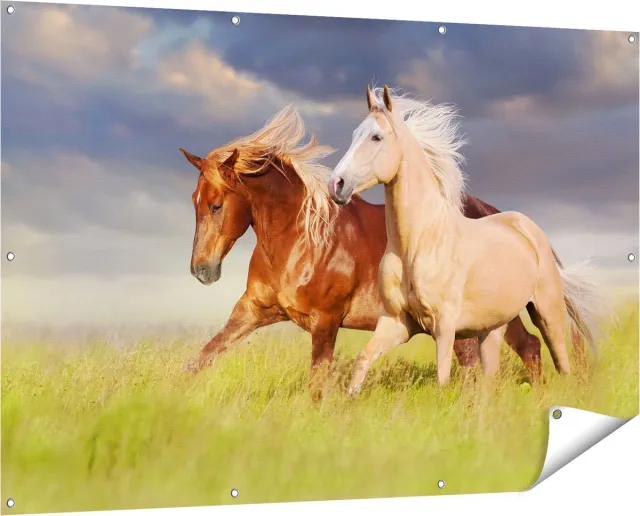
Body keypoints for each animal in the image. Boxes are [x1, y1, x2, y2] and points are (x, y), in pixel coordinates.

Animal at [178, 104, 544, 400]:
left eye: (216, 205)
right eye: (194, 202)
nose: (202, 270)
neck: (300, 241)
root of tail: (500, 216)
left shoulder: (326, 322)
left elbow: (317, 385)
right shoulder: (253, 310)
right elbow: (201, 358)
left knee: (493, 359)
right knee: (526, 347)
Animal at [327, 85, 614, 392]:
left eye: (376, 136)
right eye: (354, 134)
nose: (336, 185)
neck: (418, 244)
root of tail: (529, 229)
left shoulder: (444, 327)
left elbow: (442, 378)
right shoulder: (397, 322)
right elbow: (362, 360)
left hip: (548, 313)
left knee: (561, 362)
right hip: (493, 327)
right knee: (491, 376)